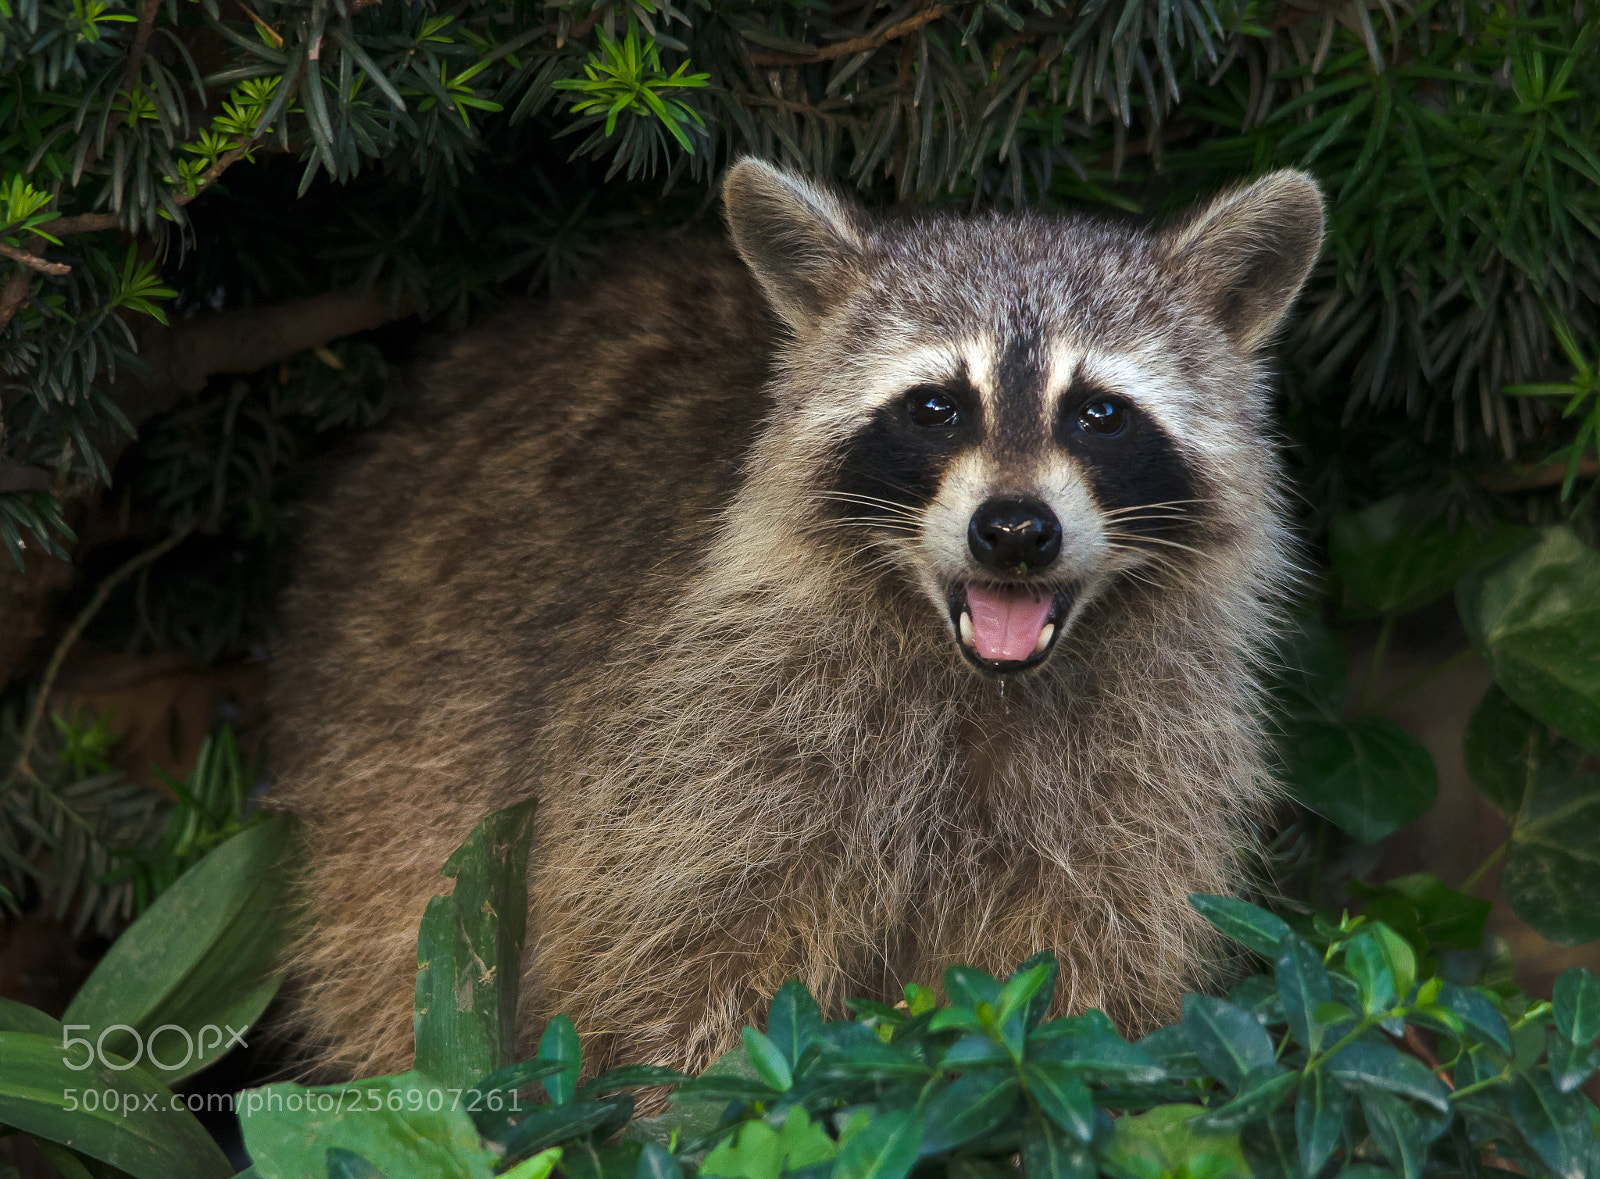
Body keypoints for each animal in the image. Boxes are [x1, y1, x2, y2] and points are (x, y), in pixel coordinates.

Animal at [269, 159, 1323, 1080]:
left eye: (1100, 414)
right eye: (935, 407)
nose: (1015, 532)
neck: (981, 683)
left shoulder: (1142, 775)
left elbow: (1091, 979)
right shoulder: (699, 746)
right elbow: (689, 974)